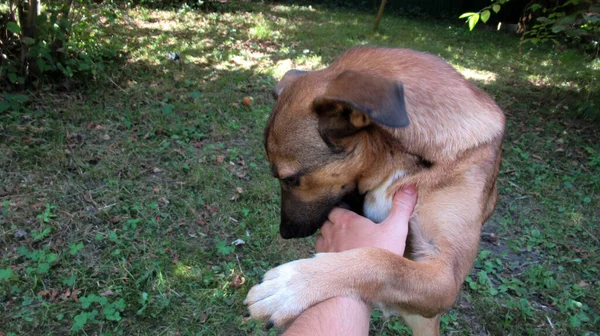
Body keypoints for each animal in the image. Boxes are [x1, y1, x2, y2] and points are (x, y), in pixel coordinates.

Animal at [244, 47, 506, 336]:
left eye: (290, 179)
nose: (285, 232)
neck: (402, 160)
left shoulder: (445, 278)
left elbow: (382, 261)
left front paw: (292, 286)